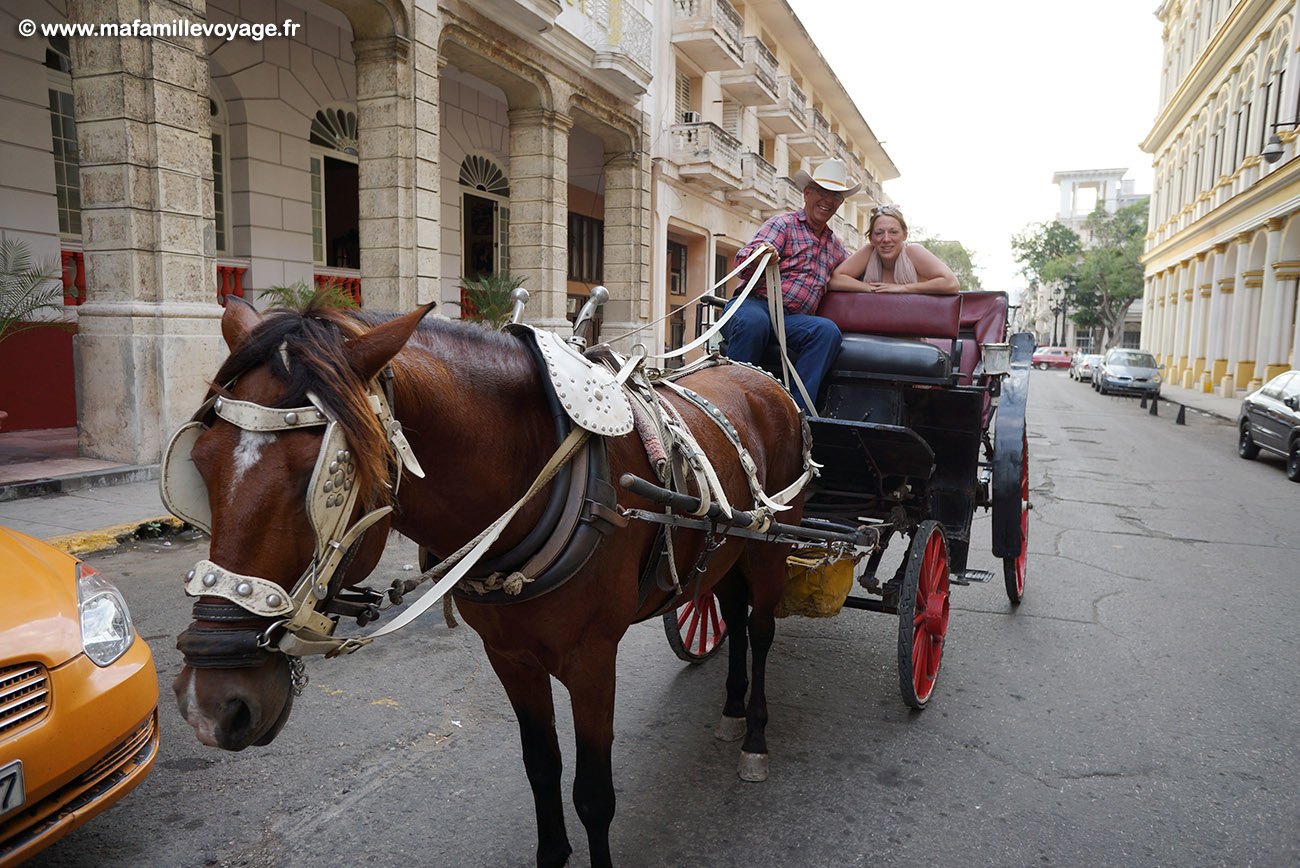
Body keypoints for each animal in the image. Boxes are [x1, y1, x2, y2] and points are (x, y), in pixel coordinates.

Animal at [170, 294, 800, 862]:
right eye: (200, 461)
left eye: (324, 476)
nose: (212, 707)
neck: (540, 478)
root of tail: (759, 378)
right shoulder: (509, 655)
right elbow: (542, 768)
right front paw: (551, 854)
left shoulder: (593, 658)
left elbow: (594, 795)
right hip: (726, 552)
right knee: (731, 611)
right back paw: (731, 710)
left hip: (771, 550)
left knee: (760, 630)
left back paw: (754, 737)